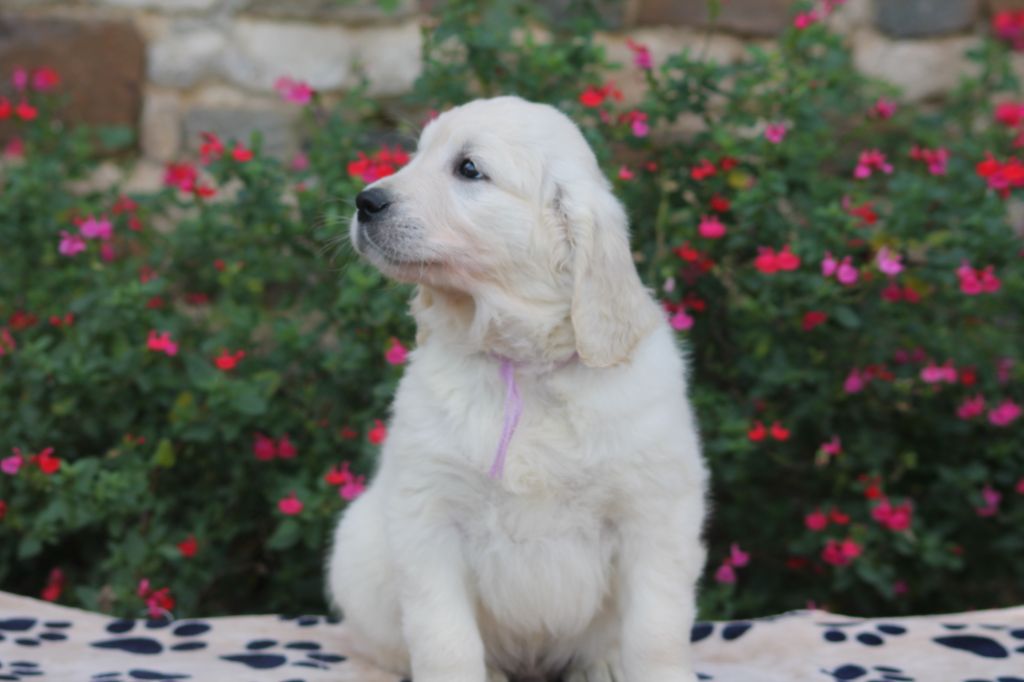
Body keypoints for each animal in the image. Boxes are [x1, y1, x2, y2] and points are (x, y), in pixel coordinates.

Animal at [326, 96, 708, 682]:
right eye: (417, 154)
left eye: (468, 169)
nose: (365, 201)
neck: (525, 364)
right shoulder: (427, 515)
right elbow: (444, 638)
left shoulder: (656, 513)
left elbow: (655, 632)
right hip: (358, 550)